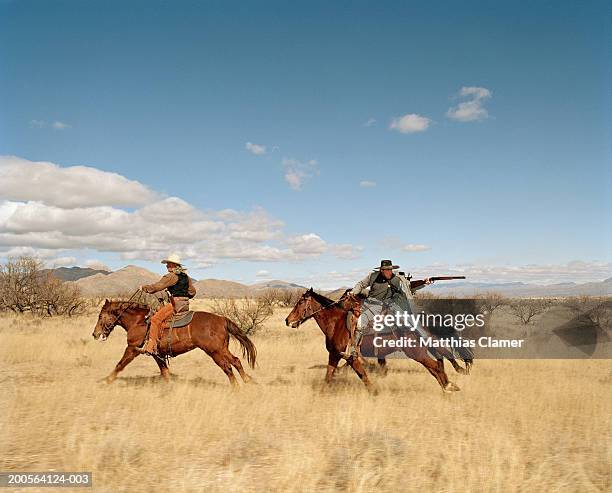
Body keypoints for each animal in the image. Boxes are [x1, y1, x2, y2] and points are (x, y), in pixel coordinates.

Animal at [91, 300, 256, 384]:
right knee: (236, 361)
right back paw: (247, 382)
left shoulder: (132, 348)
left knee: (227, 367)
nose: (95, 334)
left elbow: (120, 365)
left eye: (100, 316)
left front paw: (107, 380)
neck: (138, 322)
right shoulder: (157, 354)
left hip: (215, 352)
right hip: (222, 349)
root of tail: (222, 319)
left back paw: (237, 388)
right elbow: (165, 372)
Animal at [286, 288, 460, 392]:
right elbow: (329, 376)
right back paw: (448, 384)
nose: (287, 320)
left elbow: (363, 376)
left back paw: (449, 385)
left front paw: (374, 392)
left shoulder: (351, 358)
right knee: (436, 365)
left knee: (436, 365)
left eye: (300, 302)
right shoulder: (334, 355)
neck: (336, 324)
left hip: (415, 352)